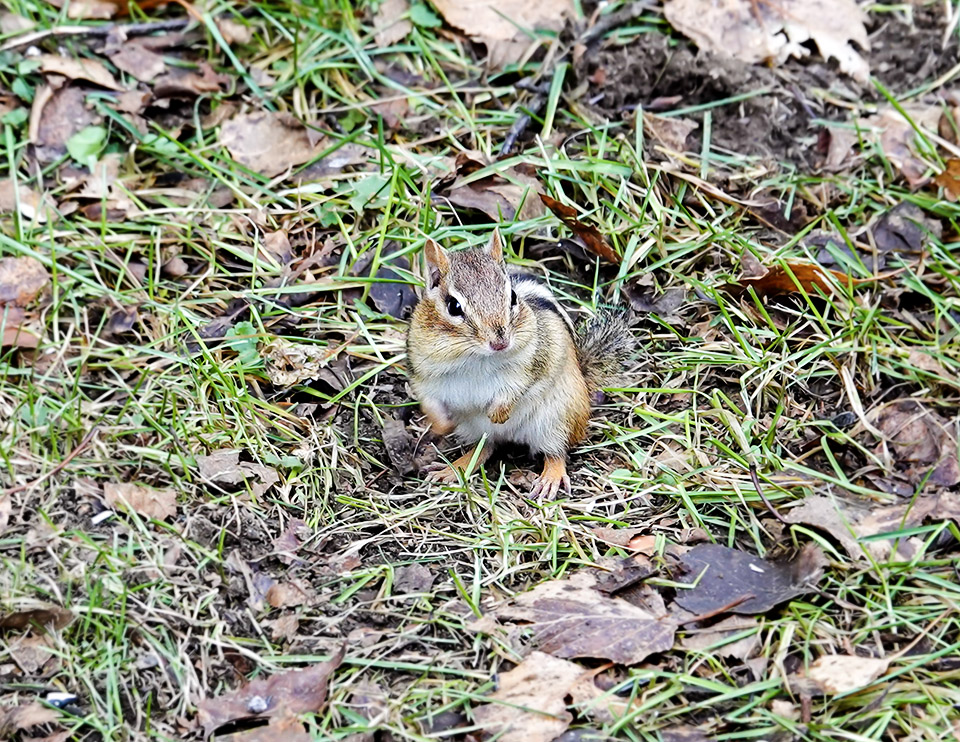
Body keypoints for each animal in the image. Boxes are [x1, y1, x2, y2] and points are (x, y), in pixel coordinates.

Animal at [405, 229, 633, 498]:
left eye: (513, 297)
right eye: (453, 306)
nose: (500, 342)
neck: (473, 357)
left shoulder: (534, 360)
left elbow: (518, 387)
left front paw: (498, 413)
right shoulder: (423, 372)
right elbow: (429, 401)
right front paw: (442, 425)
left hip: (558, 418)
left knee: (556, 452)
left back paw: (550, 478)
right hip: (478, 430)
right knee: (485, 448)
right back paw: (453, 469)